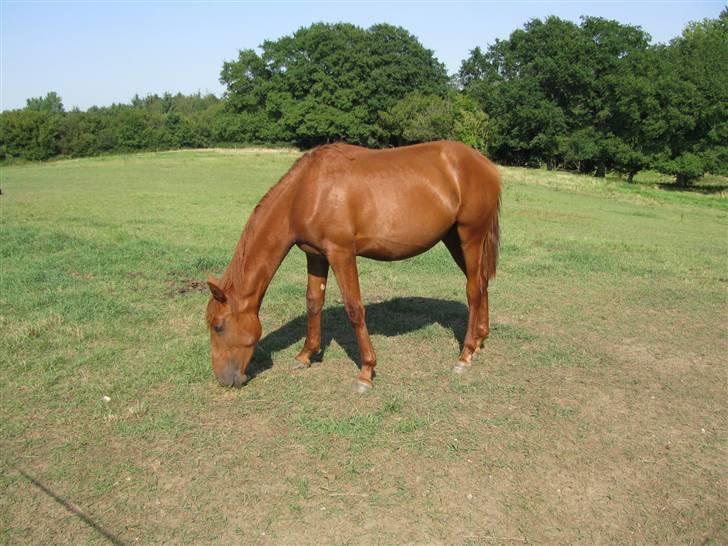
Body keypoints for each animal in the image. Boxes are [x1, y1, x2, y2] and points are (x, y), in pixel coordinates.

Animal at [205, 140, 501, 392]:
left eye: (218, 326)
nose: (225, 379)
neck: (307, 191)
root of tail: (485, 165)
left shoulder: (341, 253)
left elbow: (354, 309)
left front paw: (366, 372)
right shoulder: (316, 256)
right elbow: (314, 301)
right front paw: (306, 355)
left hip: (471, 236)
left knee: (473, 290)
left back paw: (465, 355)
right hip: (454, 238)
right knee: (481, 283)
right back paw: (480, 340)